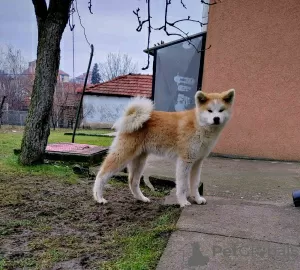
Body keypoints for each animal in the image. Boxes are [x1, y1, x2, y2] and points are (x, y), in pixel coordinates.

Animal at [92, 89, 236, 208]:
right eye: (209, 110)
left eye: (221, 110)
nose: (216, 118)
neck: (199, 125)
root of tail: (131, 116)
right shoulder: (185, 161)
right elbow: (183, 185)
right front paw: (183, 202)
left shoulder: (197, 162)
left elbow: (194, 184)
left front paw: (198, 199)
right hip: (123, 154)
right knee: (102, 174)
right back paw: (99, 197)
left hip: (139, 160)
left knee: (133, 181)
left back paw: (141, 198)